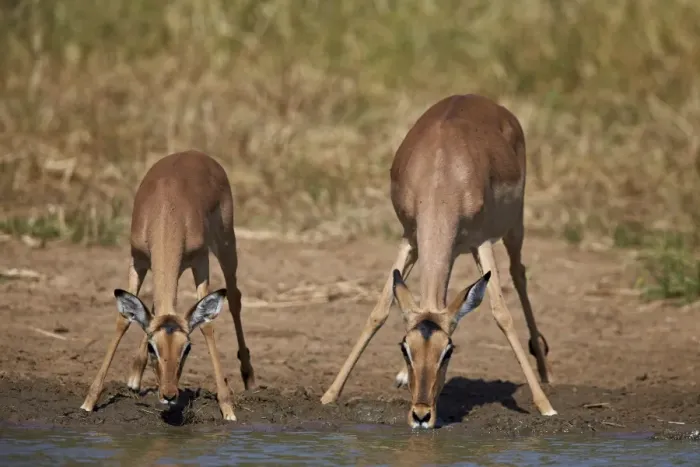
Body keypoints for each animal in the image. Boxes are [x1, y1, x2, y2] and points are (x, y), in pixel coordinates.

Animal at [80, 150, 255, 421]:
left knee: (234, 297)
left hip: (226, 243)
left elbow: (207, 325)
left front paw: (227, 407)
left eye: (187, 348)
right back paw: (134, 376)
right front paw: (89, 401)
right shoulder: (138, 261)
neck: (167, 211)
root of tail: (196, 153)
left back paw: (248, 377)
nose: (170, 394)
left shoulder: (201, 262)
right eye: (154, 348)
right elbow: (124, 318)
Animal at [320, 94, 556, 429]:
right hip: (449, 249)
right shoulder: (410, 239)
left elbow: (501, 314)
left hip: (513, 228)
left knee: (519, 272)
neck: (441, 175)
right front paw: (330, 394)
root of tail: (486, 101)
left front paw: (545, 406)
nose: (421, 415)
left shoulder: (482, 243)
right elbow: (379, 311)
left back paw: (545, 372)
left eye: (449, 351)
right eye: (405, 347)